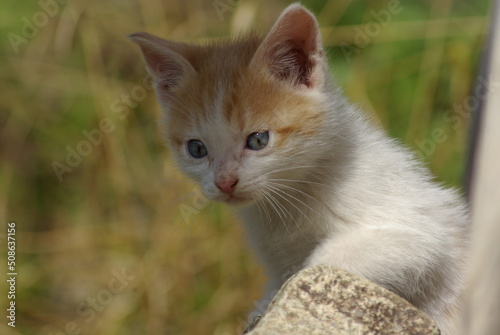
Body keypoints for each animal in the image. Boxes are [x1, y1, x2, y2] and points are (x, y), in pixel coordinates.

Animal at [129, 3, 468, 335]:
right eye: (197, 149)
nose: (225, 182)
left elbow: (325, 263)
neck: (291, 197)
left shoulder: (425, 234)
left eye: (258, 140)